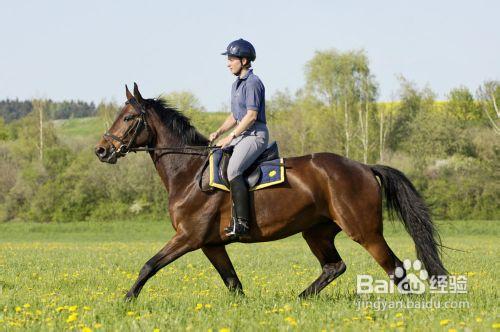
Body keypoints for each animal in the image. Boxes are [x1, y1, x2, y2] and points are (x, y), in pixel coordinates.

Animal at [94, 83, 450, 300]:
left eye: (128, 117)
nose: (101, 151)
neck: (189, 173)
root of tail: (362, 166)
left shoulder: (189, 238)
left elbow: (149, 265)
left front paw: (125, 301)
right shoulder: (211, 243)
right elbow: (233, 283)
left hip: (364, 230)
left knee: (394, 266)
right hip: (316, 231)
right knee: (334, 267)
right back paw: (301, 299)